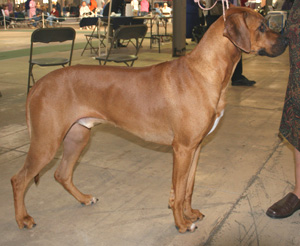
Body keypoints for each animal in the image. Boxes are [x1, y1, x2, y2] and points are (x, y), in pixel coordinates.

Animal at [10, 6, 288, 233]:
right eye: (262, 26)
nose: (287, 39)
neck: (204, 71)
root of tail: (38, 84)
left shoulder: (195, 147)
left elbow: (188, 187)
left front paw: (189, 214)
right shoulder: (183, 148)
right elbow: (179, 189)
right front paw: (182, 224)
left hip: (78, 136)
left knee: (62, 174)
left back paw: (84, 198)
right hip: (47, 141)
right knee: (19, 179)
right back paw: (23, 218)